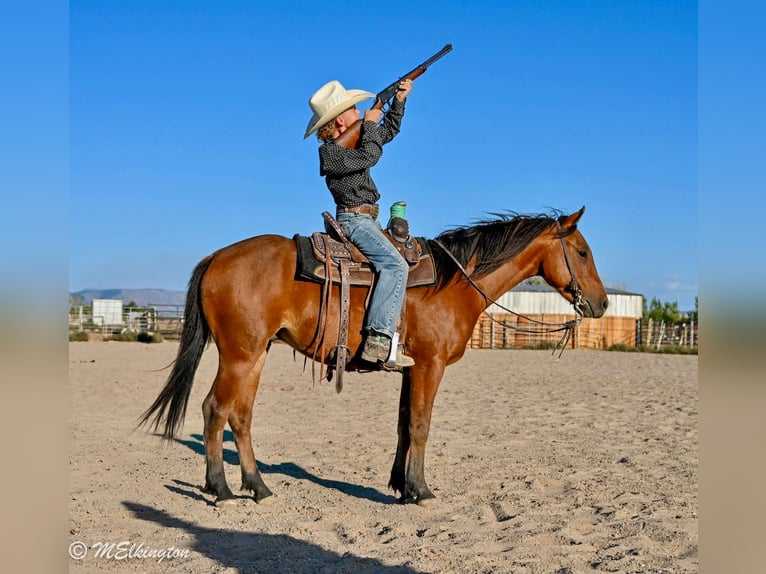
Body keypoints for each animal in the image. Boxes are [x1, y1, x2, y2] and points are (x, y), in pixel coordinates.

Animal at [140, 206, 608, 506]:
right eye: (583, 252)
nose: (601, 304)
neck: (455, 282)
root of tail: (217, 256)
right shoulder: (431, 366)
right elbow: (420, 425)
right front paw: (421, 491)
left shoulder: (411, 369)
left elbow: (403, 426)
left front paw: (401, 486)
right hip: (239, 354)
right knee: (215, 409)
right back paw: (220, 490)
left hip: (255, 355)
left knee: (241, 415)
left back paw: (258, 487)